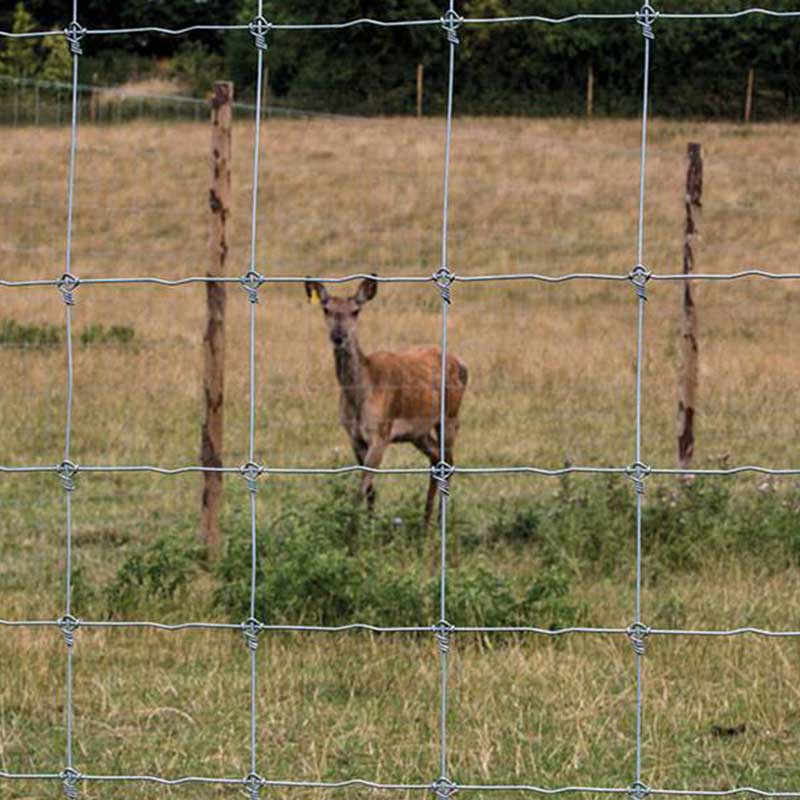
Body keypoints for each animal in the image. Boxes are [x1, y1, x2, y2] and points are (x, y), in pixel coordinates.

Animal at [304, 278, 468, 528]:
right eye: (326, 309)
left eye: (356, 311)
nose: (338, 336)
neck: (360, 396)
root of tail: (462, 364)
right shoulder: (354, 436)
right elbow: (371, 489)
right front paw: (369, 524)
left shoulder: (381, 433)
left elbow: (361, 488)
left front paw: (353, 532)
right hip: (418, 431)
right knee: (435, 458)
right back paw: (425, 521)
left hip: (450, 415)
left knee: (447, 461)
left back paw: (439, 520)